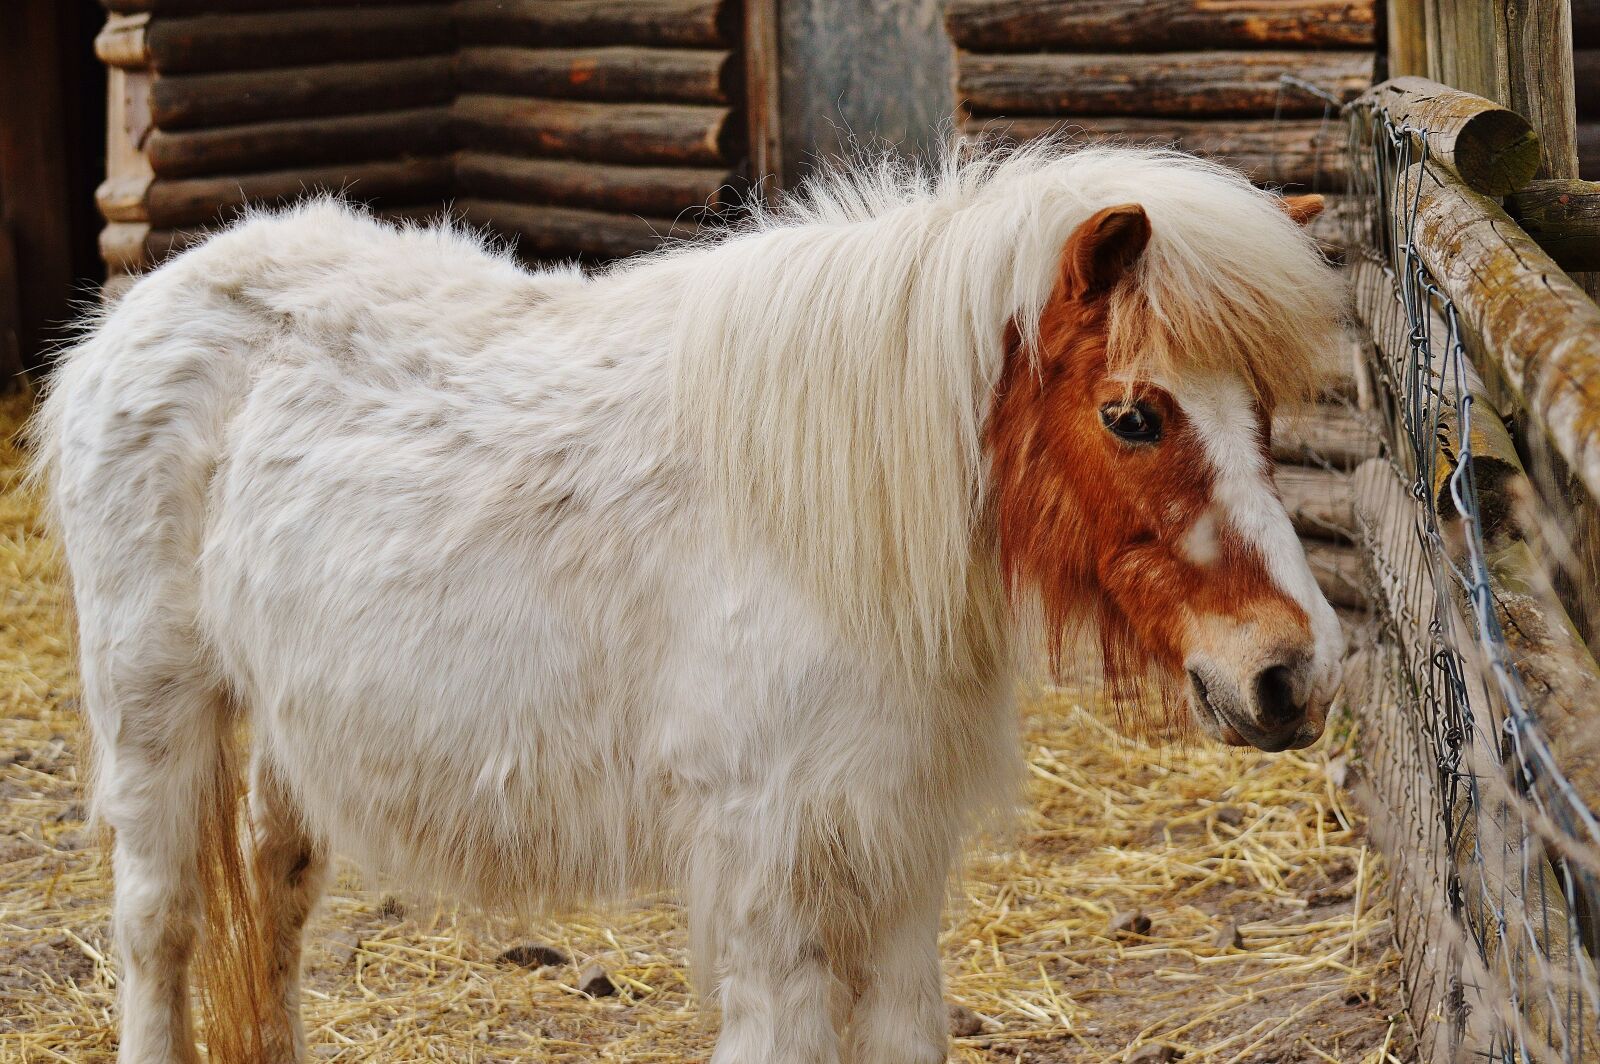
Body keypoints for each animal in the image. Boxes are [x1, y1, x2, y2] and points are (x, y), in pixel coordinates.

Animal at [35, 144, 1345, 1064]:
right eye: (1132, 414)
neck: (815, 522)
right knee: (159, 928)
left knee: (275, 895)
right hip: (158, 715)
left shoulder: (892, 859)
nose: (1293, 671)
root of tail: (142, 311)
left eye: (1261, 410)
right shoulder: (771, 870)